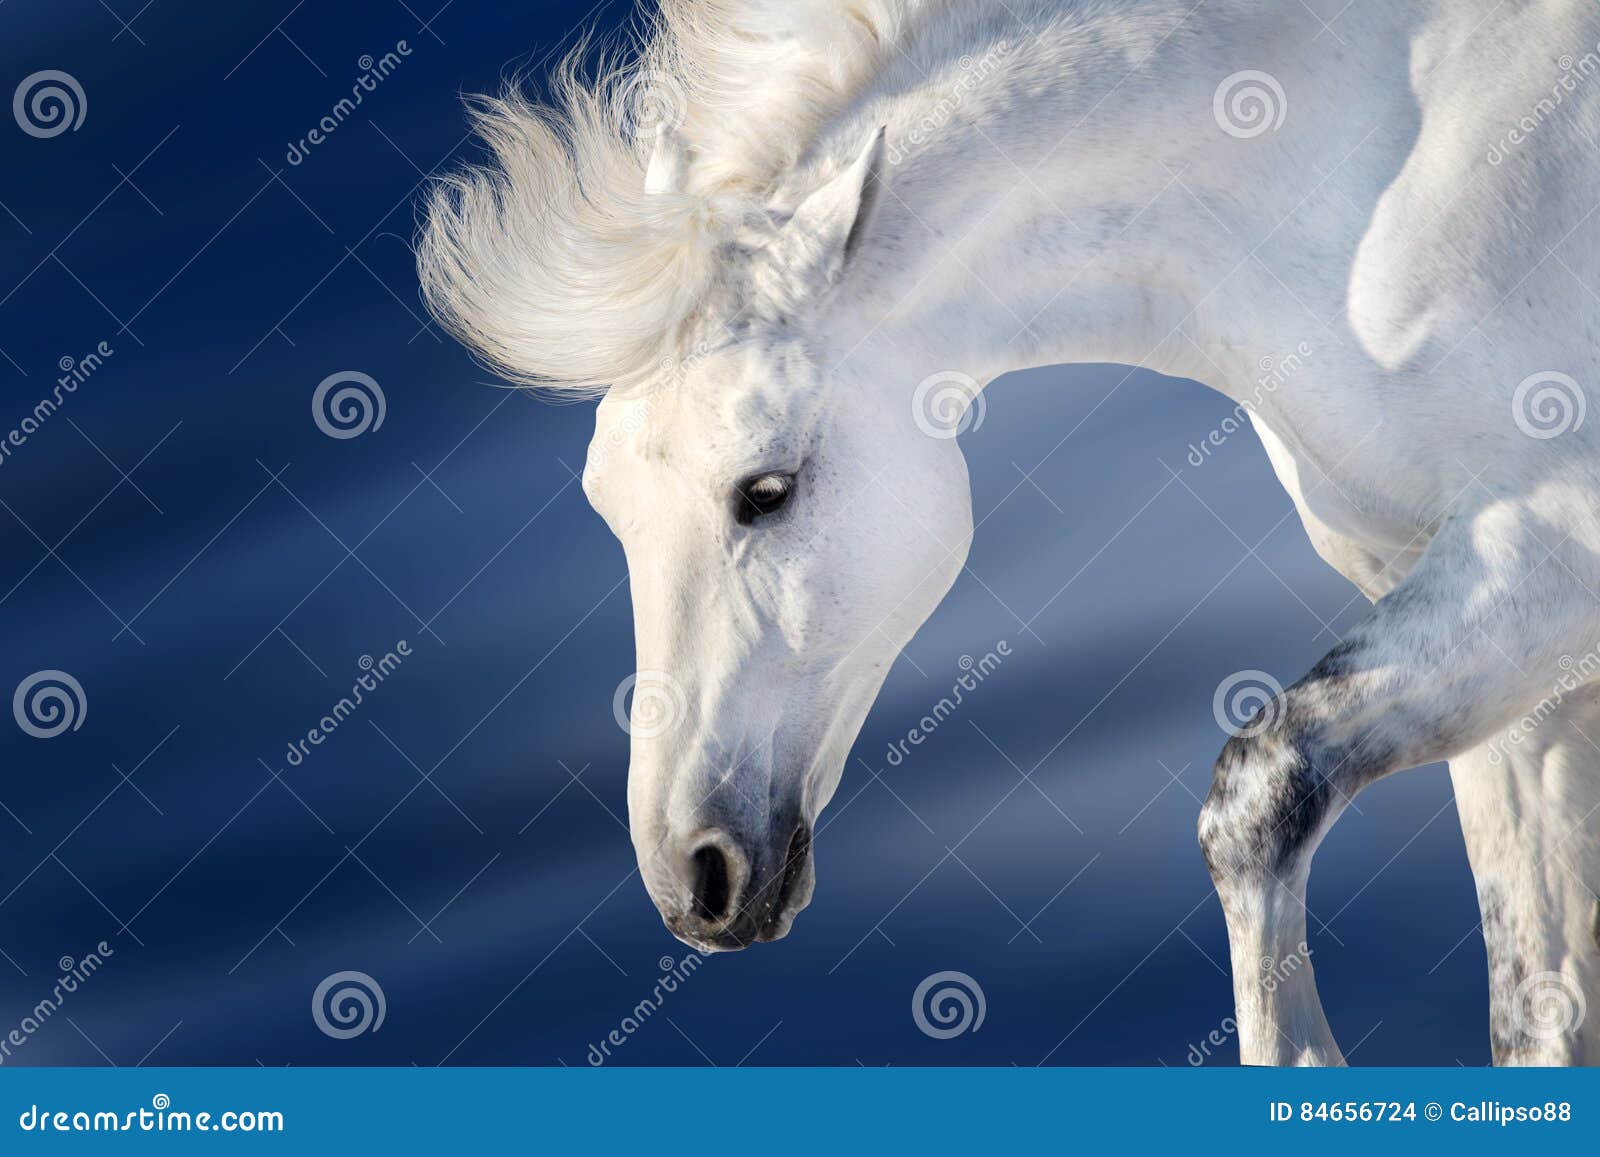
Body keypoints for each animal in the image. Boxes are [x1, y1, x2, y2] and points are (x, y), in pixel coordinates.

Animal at [418, 0, 1600, 1065]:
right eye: (606, 506)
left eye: (766, 488)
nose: (692, 876)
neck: (1381, 156)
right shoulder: (1510, 675)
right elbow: (1538, 1010)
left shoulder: (1541, 568)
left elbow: (1259, 794)